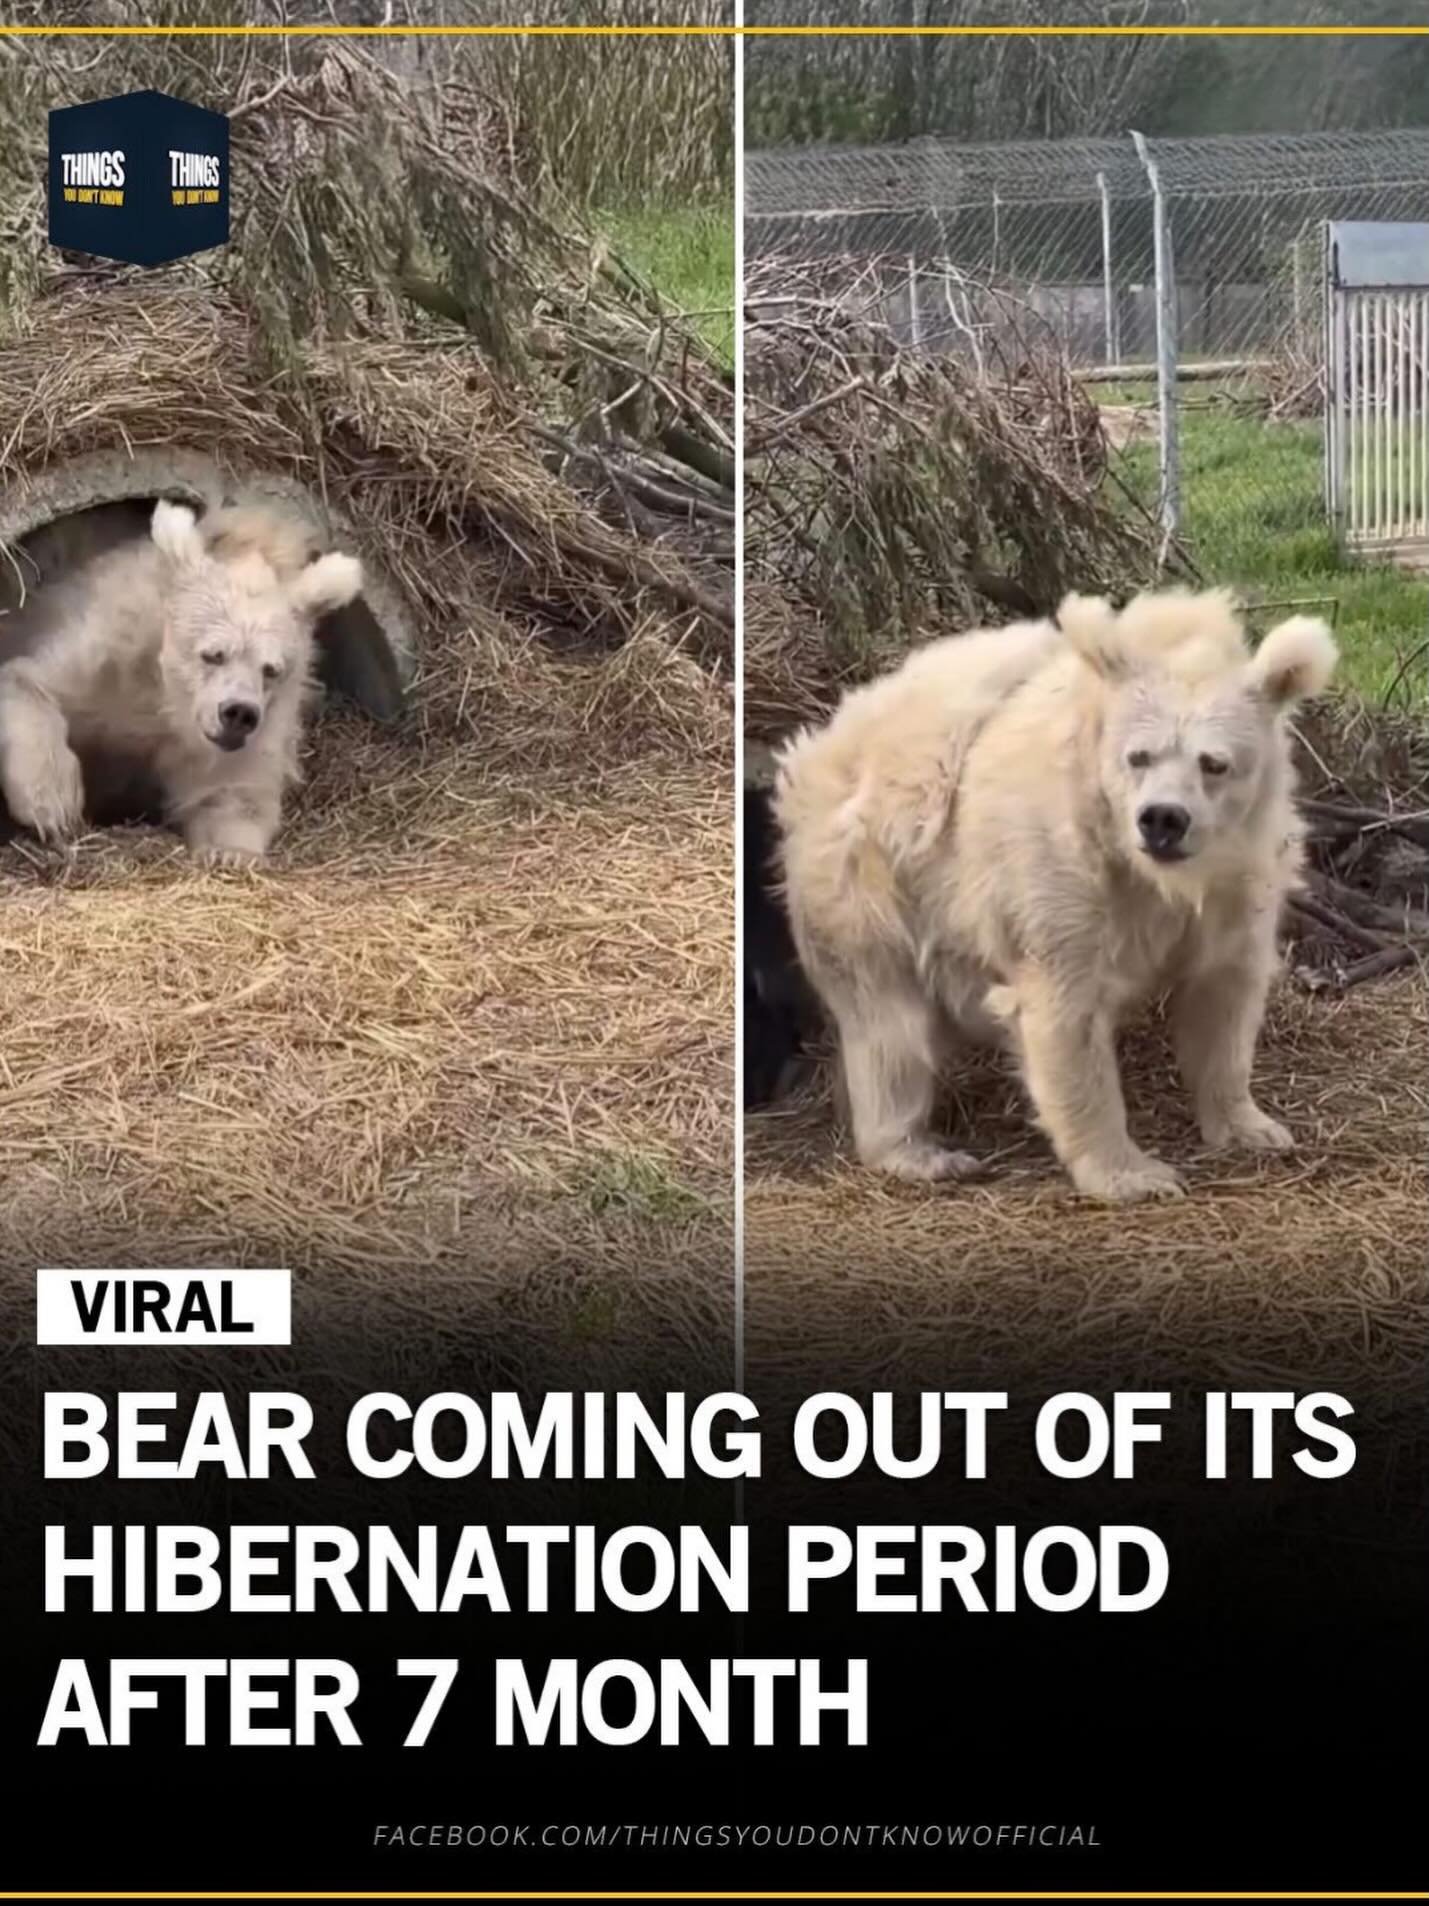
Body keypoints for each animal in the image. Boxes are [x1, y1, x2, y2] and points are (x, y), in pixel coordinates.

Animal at [0, 499, 362, 864]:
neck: (168, 699)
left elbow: (231, 794)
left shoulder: (253, 734)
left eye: (271, 669)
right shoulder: (108, 653)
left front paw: (228, 853)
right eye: (213, 654)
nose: (239, 713)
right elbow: (28, 679)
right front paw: (54, 805)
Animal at [773, 587, 1338, 1203]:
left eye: (1214, 763)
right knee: (889, 1026)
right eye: (1138, 756)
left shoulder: (1239, 882)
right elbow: (1066, 1014)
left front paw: (1252, 1127)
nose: (1162, 820)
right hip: (869, 880)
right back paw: (922, 1153)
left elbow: (1224, 995)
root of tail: (820, 746)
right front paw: (1135, 1174)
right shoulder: (1060, 871)